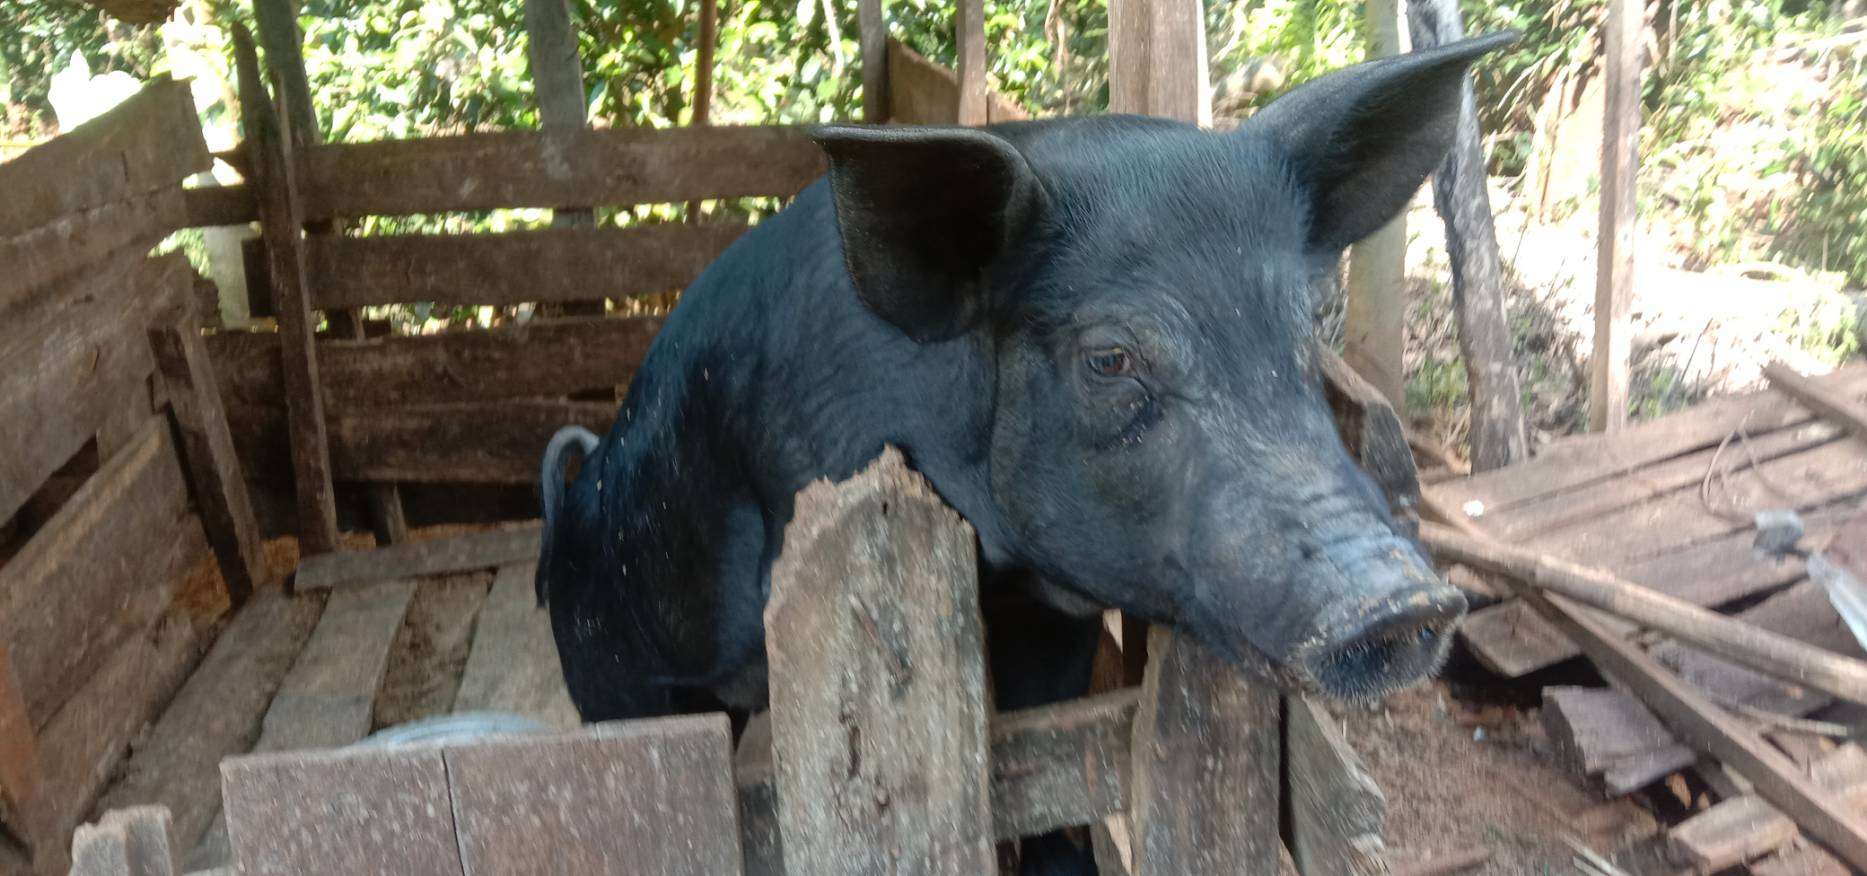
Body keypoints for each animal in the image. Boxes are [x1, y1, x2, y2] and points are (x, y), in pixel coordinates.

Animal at [536, 32, 1514, 869]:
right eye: (1110, 359)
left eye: (1316, 320)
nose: (1404, 603)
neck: (998, 574)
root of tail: (570, 505)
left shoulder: (1053, 617)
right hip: (611, 667)